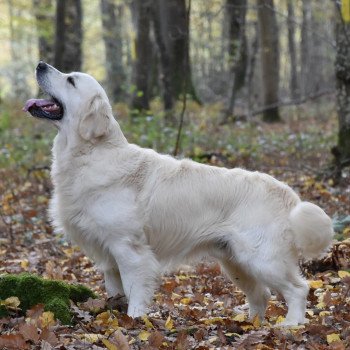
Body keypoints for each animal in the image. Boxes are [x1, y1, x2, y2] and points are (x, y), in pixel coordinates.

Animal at [23, 62, 334, 326]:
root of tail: (289, 195)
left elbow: (135, 290)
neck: (91, 153)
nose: (40, 64)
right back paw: (251, 324)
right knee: (261, 294)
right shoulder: (108, 256)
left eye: (71, 80)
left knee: (298, 288)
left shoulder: (129, 248)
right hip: (234, 261)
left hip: (262, 258)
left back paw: (291, 325)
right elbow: (114, 290)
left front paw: (134, 321)